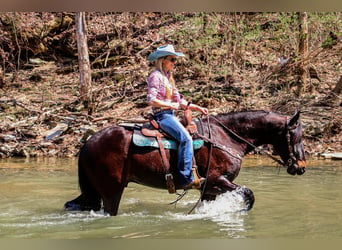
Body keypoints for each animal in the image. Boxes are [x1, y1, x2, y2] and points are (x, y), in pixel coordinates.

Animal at [65, 110, 308, 216]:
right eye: (297, 136)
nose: (301, 167)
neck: (226, 137)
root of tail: (88, 143)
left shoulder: (209, 189)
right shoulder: (216, 180)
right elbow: (249, 194)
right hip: (111, 191)